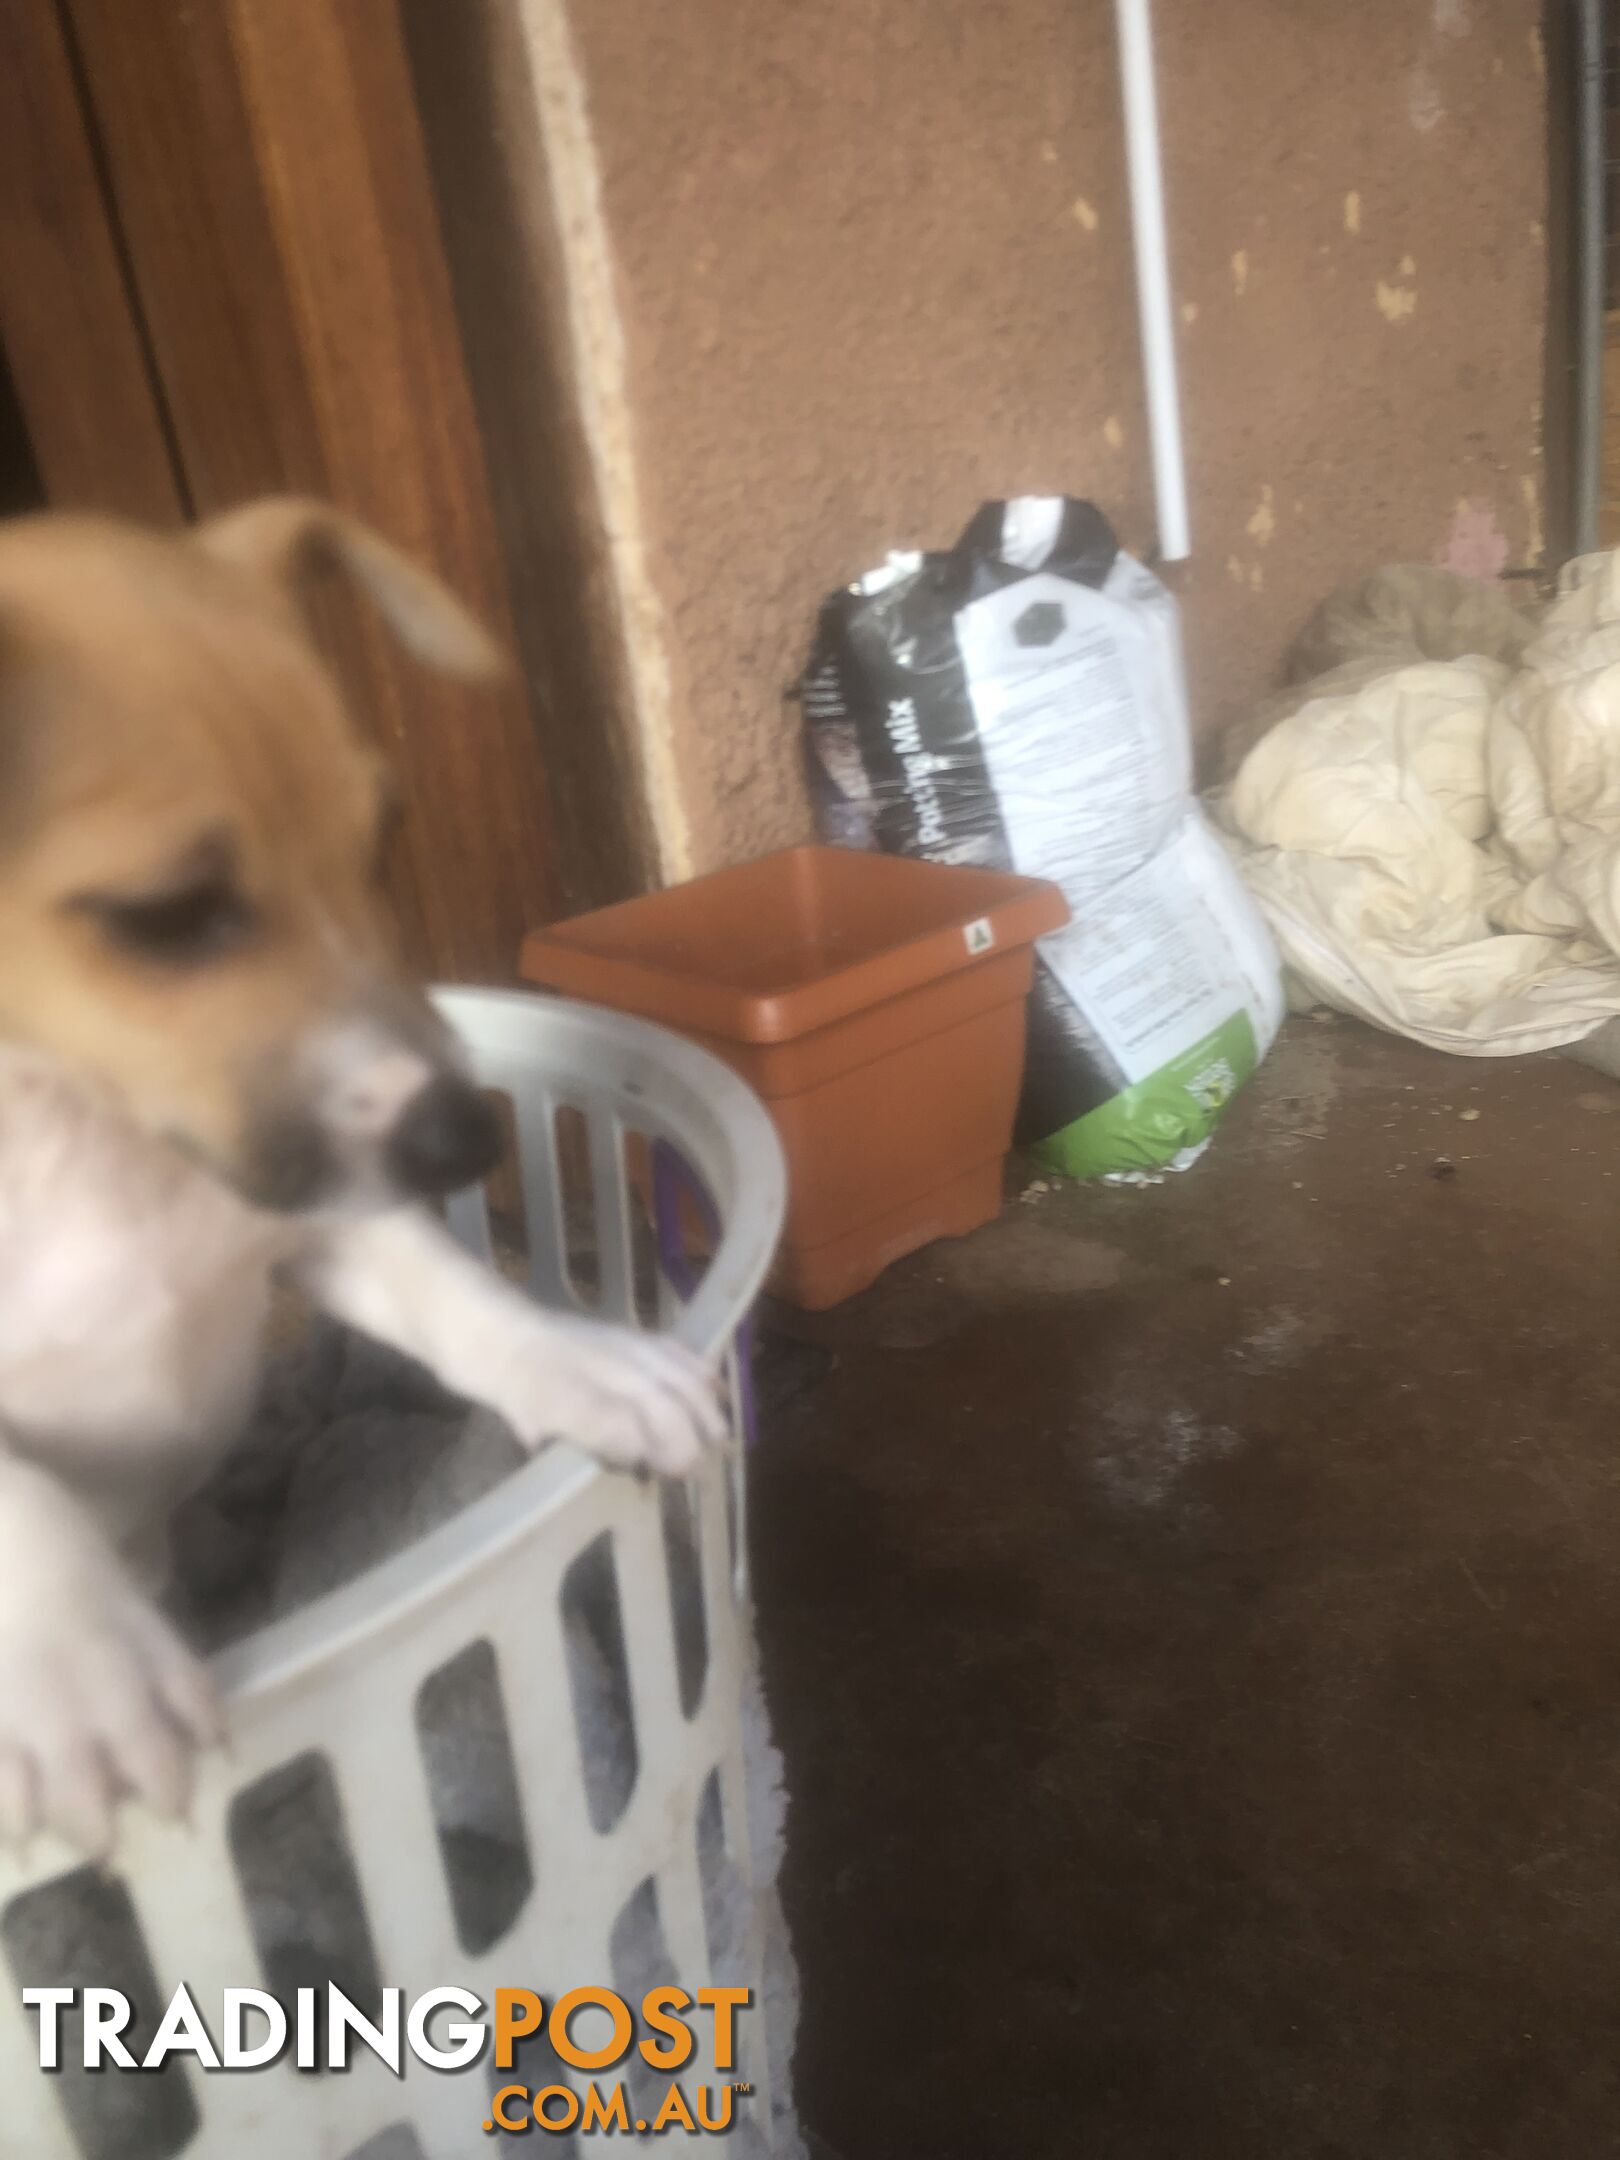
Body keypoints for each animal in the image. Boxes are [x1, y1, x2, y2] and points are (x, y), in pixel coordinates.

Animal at [0, 501, 721, 1857]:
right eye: (163, 914)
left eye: (382, 836)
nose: (463, 1140)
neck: (83, 1131)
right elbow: (16, 1495)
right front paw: (73, 1672)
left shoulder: (321, 1213)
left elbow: (460, 1298)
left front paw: (587, 1368)